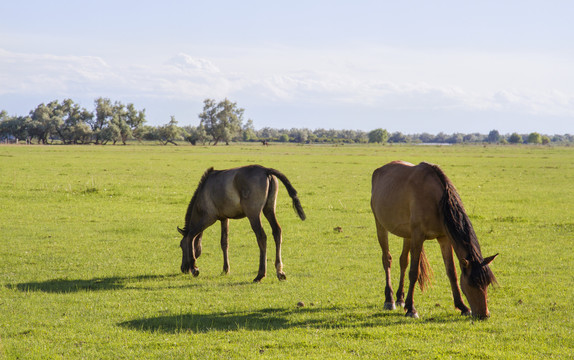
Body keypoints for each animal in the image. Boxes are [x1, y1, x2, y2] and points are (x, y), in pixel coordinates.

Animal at [372, 160, 498, 318]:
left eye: (487, 283)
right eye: (472, 283)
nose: (484, 314)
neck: (436, 200)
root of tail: (379, 170)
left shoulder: (444, 238)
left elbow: (451, 272)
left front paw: (462, 306)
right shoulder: (418, 236)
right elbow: (414, 272)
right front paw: (411, 308)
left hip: (407, 235)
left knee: (403, 261)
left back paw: (400, 298)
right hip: (380, 225)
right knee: (387, 259)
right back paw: (389, 300)